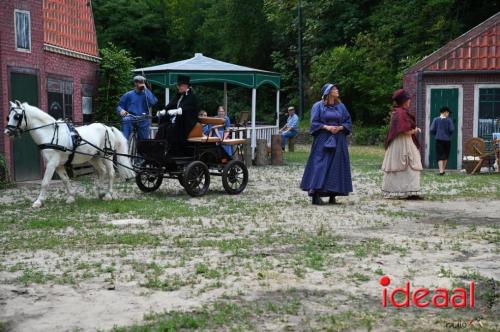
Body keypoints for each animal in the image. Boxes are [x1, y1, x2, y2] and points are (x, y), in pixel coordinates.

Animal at [3, 100, 136, 208]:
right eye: (8, 116)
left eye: (17, 116)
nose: (7, 132)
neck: (49, 134)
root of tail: (108, 127)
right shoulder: (58, 165)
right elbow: (65, 180)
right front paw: (71, 197)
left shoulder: (51, 164)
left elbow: (45, 182)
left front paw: (38, 202)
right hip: (94, 157)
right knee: (102, 171)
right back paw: (99, 193)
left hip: (106, 156)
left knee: (111, 173)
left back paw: (108, 195)